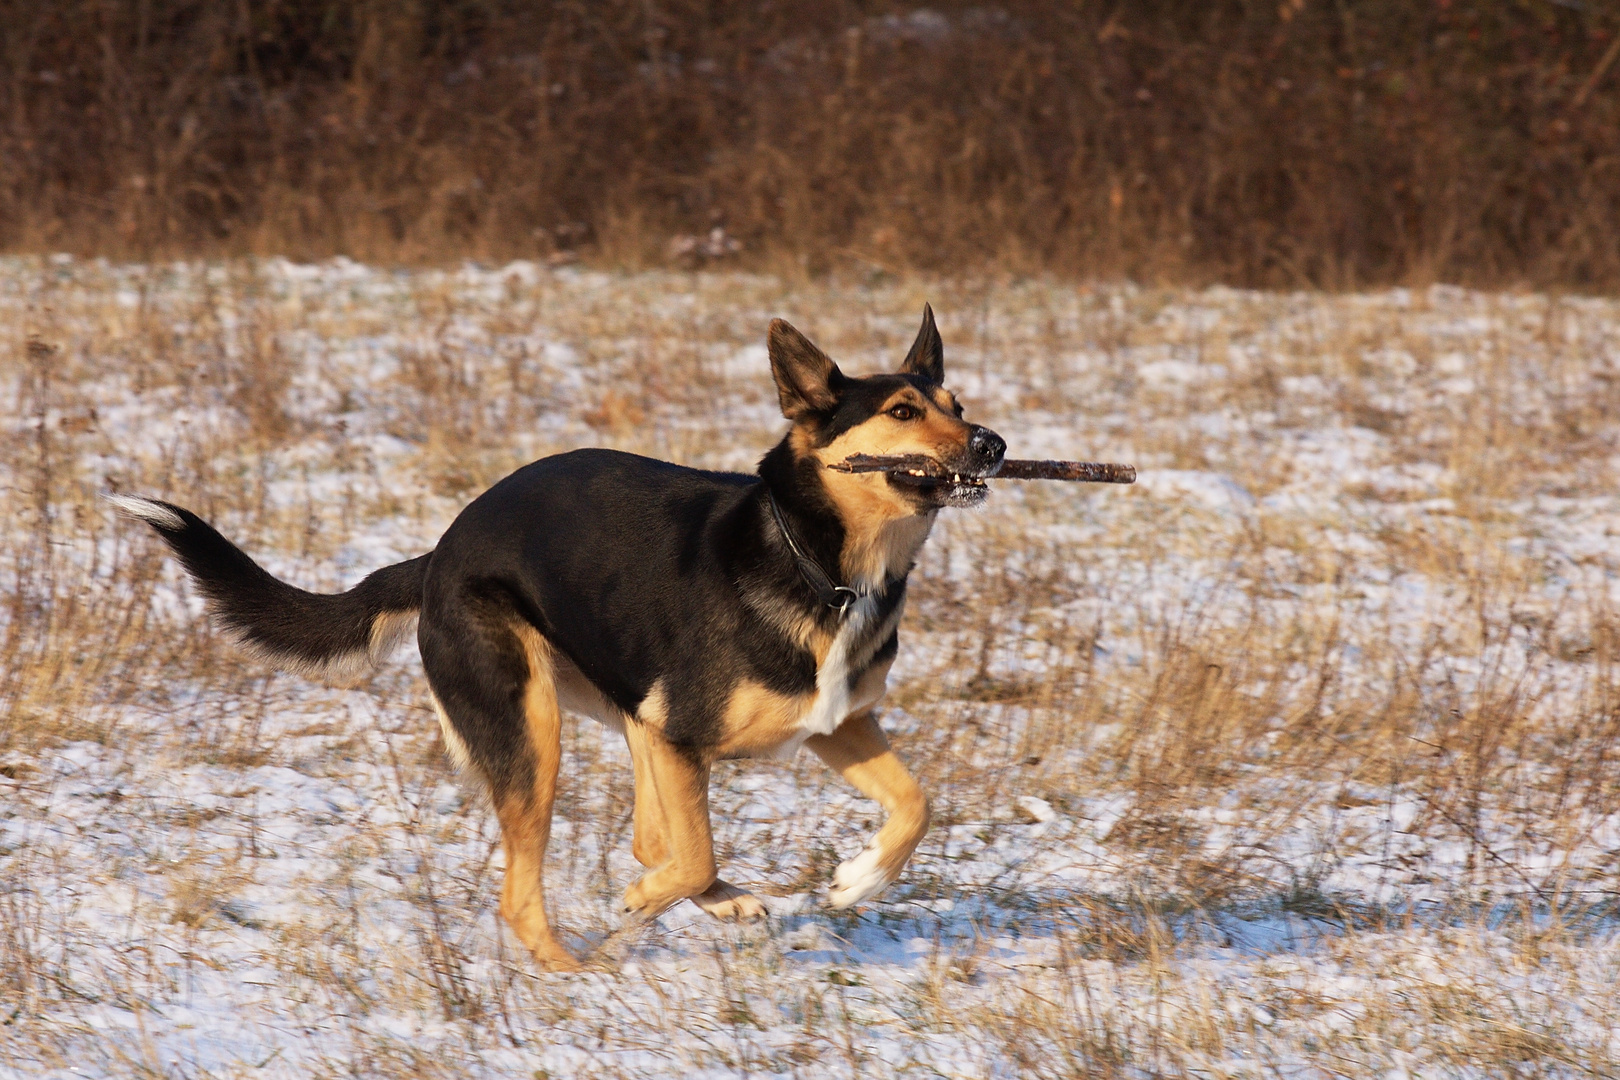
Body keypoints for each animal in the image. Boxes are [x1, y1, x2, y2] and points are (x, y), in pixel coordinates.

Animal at [110, 306, 997, 971]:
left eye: (957, 405)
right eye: (903, 412)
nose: (995, 444)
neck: (821, 562)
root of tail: (439, 554)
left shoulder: (834, 722)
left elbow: (916, 805)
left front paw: (856, 883)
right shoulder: (683, 734)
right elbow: (696, 854)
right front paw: (648, 904)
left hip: (624, 713)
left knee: (649, 837)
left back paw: (714, 907)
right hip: (533, 728)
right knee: (540, 887)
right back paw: (576, 969)